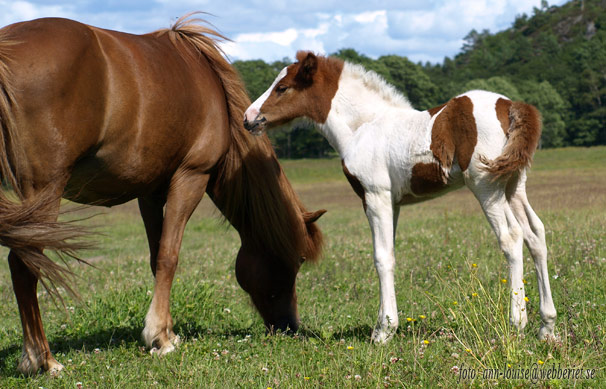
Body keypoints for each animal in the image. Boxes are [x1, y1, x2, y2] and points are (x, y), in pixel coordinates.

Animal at [0, 15, 326, 376]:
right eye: (297, 260)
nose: (290, 326)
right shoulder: (190, 178)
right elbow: (170, 256)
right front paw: (161, 337)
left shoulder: (150, 193)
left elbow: (157, 257)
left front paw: (165, 330)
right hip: (44, 191)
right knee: (23, 265)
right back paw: (42, 358)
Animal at [245, 51, 560, 342]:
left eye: (282, 87)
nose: (248, 118)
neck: (363, 126)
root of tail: (510, 106)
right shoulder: (393, 203)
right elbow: (391, 254)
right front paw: (383, 324)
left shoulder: (375, 197)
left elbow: (381, 257)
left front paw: (383, 331)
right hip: (514, 186)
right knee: (536, 234)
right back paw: (547, 326)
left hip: (486, 186)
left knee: (512, 237)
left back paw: (517, 323)